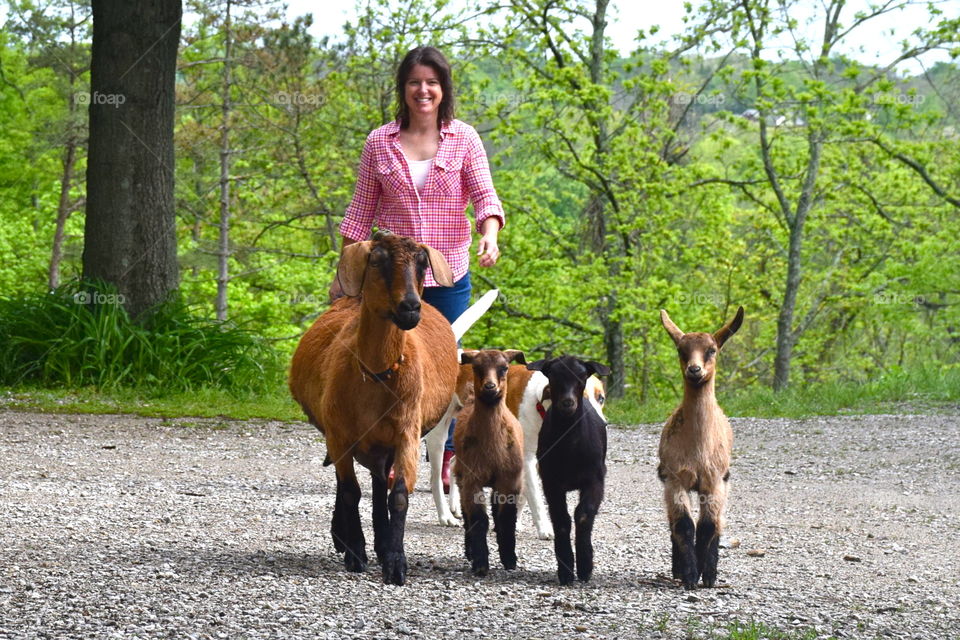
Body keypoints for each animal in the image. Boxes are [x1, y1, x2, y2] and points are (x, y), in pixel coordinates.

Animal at [288, 231, 459, 585]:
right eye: (377, 260)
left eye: (422, 264)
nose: (410, 307)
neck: (376, 374)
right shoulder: (339, 435)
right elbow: (350, 492)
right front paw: (355, 552)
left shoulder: (407, 432)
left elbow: (399, 494)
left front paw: (395, 561)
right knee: (348, 485)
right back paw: (344, 536)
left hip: (385, 441)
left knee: (381, 485)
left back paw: (380, 542)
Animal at [453, 349, 526, 576]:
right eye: (476, 367)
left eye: (504, 368)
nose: (490, 387)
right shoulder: (472, 479)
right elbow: (478, 519)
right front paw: (480, 564)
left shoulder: (510, 480)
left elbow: (506, 518)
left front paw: (510, 559)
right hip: (461, 473)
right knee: (466, 513)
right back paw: (469, 551)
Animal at [527, 356, 611, 585]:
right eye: (553, 376)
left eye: (582, 376)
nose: (568, 402)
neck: (570, 447)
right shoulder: (551, 482)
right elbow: (561, 519)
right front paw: (565, 570)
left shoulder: (595, 479)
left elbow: (583, 514)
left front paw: (585, 567)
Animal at [657, 306, 744, 589]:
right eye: (680, 350)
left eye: (712, 349)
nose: (694, 370)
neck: (698, 450)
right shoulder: (675, 480)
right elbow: (684, 524)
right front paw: (689, 576)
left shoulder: (714, 481)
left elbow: (708, 525)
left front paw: (707, 576)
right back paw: (677, 569)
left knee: (717, 524)